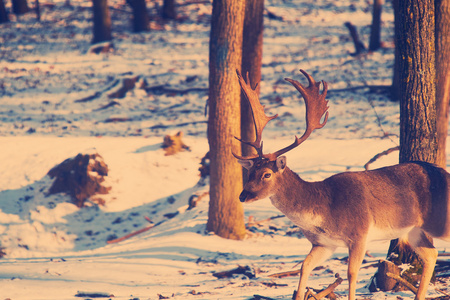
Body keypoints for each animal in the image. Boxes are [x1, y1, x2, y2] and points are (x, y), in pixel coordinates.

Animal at [234, 69, 450, 300]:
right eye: (250, 172)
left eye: (266, 174)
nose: (243, 195)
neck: (324, 211)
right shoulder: (323, 243)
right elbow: (304, 267)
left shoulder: (359, 234)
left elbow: (351, 274)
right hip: (413, 230)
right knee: (431, 254)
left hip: (438, 221)